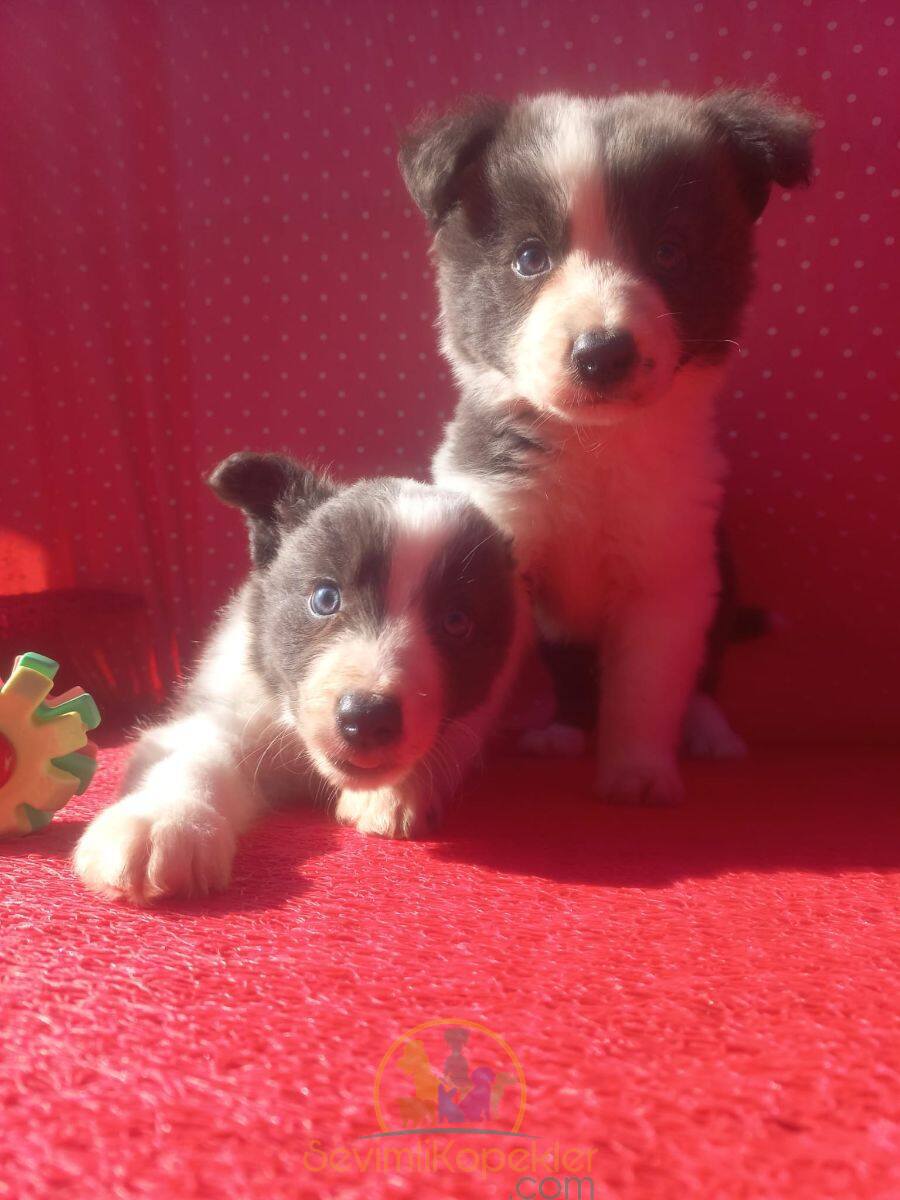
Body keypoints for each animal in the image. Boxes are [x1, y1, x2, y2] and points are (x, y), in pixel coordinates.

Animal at [77, 451, 532, 902]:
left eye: (456, 622)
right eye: (325, 598)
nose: (367, 718)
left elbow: (446, 744)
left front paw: (398, 792)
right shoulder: (227, 707)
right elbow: (192, 755)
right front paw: (163, 820)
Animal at [398, 88, 816, 801]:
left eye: (669, 251)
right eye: (529, 257)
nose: (602, 354)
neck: (594, 449)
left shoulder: (669, 575)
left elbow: (647, 689)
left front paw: (639, 772)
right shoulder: (499, 538)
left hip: (721, 581)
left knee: (705, 672)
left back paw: (710, 732)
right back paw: (560, 729)